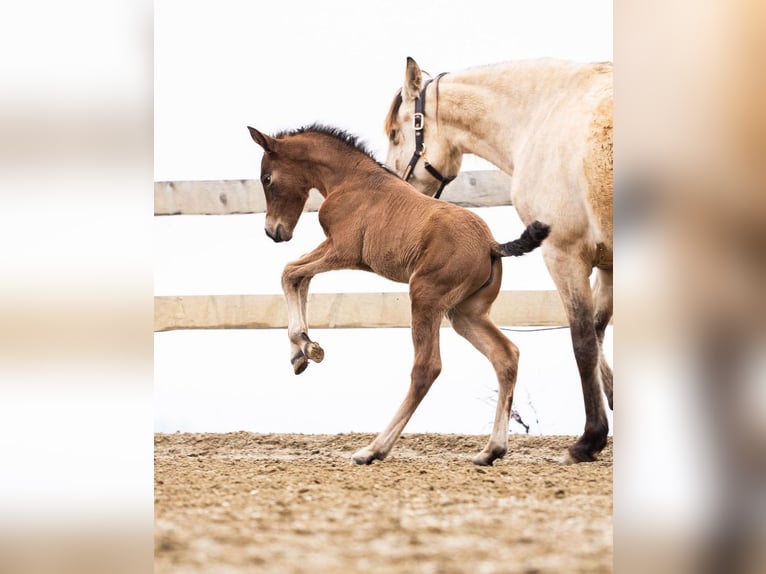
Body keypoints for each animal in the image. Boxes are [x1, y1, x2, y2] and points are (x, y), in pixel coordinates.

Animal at [248, 123, 550, 466]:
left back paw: (373, 449)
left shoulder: (343, 250)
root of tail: (491, 245)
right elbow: (301, 276)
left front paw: (302, 345)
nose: (274, 232)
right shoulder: (340, 254)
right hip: (465, 313)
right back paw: (491, 450)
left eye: (266, 179)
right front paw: (303, 351)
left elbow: (290, 272)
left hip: (424, 297)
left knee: (427, 368)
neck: (351, 180)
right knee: (506, 356)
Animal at [383, 58, 613, 464]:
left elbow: (584, 340)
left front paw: (588, 441)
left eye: (396, 134)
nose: (393, 191)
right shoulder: (608, 266)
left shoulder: (564, 254)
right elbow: (600, 337)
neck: (544, 113)